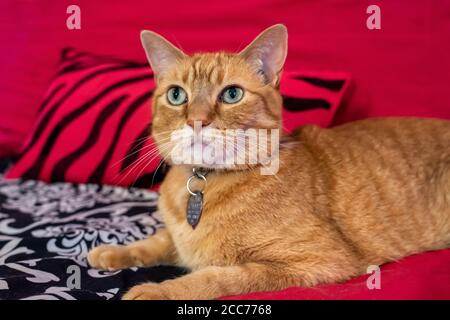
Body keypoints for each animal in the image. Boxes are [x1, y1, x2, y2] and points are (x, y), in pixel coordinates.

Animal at [86, 23, 448, 298]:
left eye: (232, 94)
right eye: (177, 95)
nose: (197, 121)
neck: (206, 184)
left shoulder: (317, 260)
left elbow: (215, 277)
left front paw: (157, 290)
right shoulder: (176, 237)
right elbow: (159, 240)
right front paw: (114, 252)